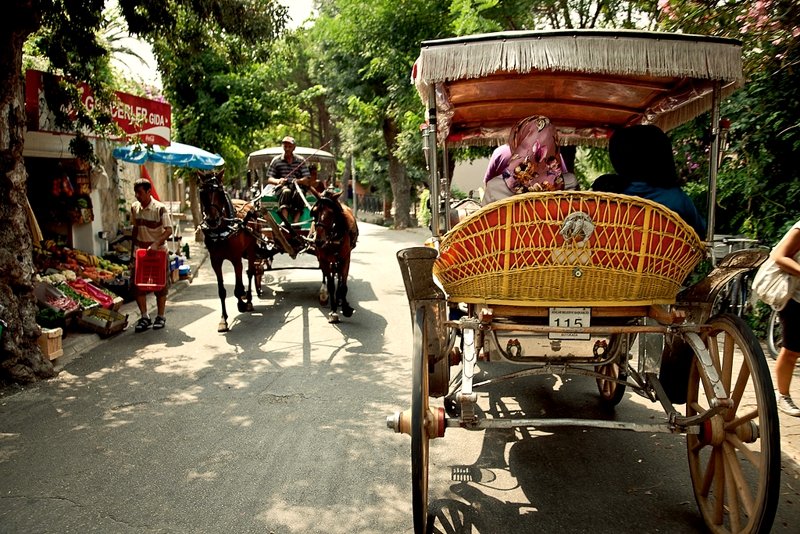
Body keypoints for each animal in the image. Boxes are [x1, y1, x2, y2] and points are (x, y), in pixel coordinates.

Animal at [196, 172, 268, 332]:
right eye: (202, 193)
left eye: (220, 193)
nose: (212, 220)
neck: (221, 231)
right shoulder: (215, 261)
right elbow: (222, 291)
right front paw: (223, 320)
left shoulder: (236, 258)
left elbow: (238, 287)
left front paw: (242, 302)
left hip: (251, 248)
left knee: (251, 272)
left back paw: (248, 301)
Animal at [310, 191, 360, 324]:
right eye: (314, 212)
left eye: (331, 213)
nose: (318, 241)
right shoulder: (324, 259)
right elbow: (331, 285)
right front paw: (333, 312)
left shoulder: (345, 258)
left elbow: (342, 284)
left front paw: (345, 307)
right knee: (328, 276)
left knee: (341, 278)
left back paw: (341, 300)